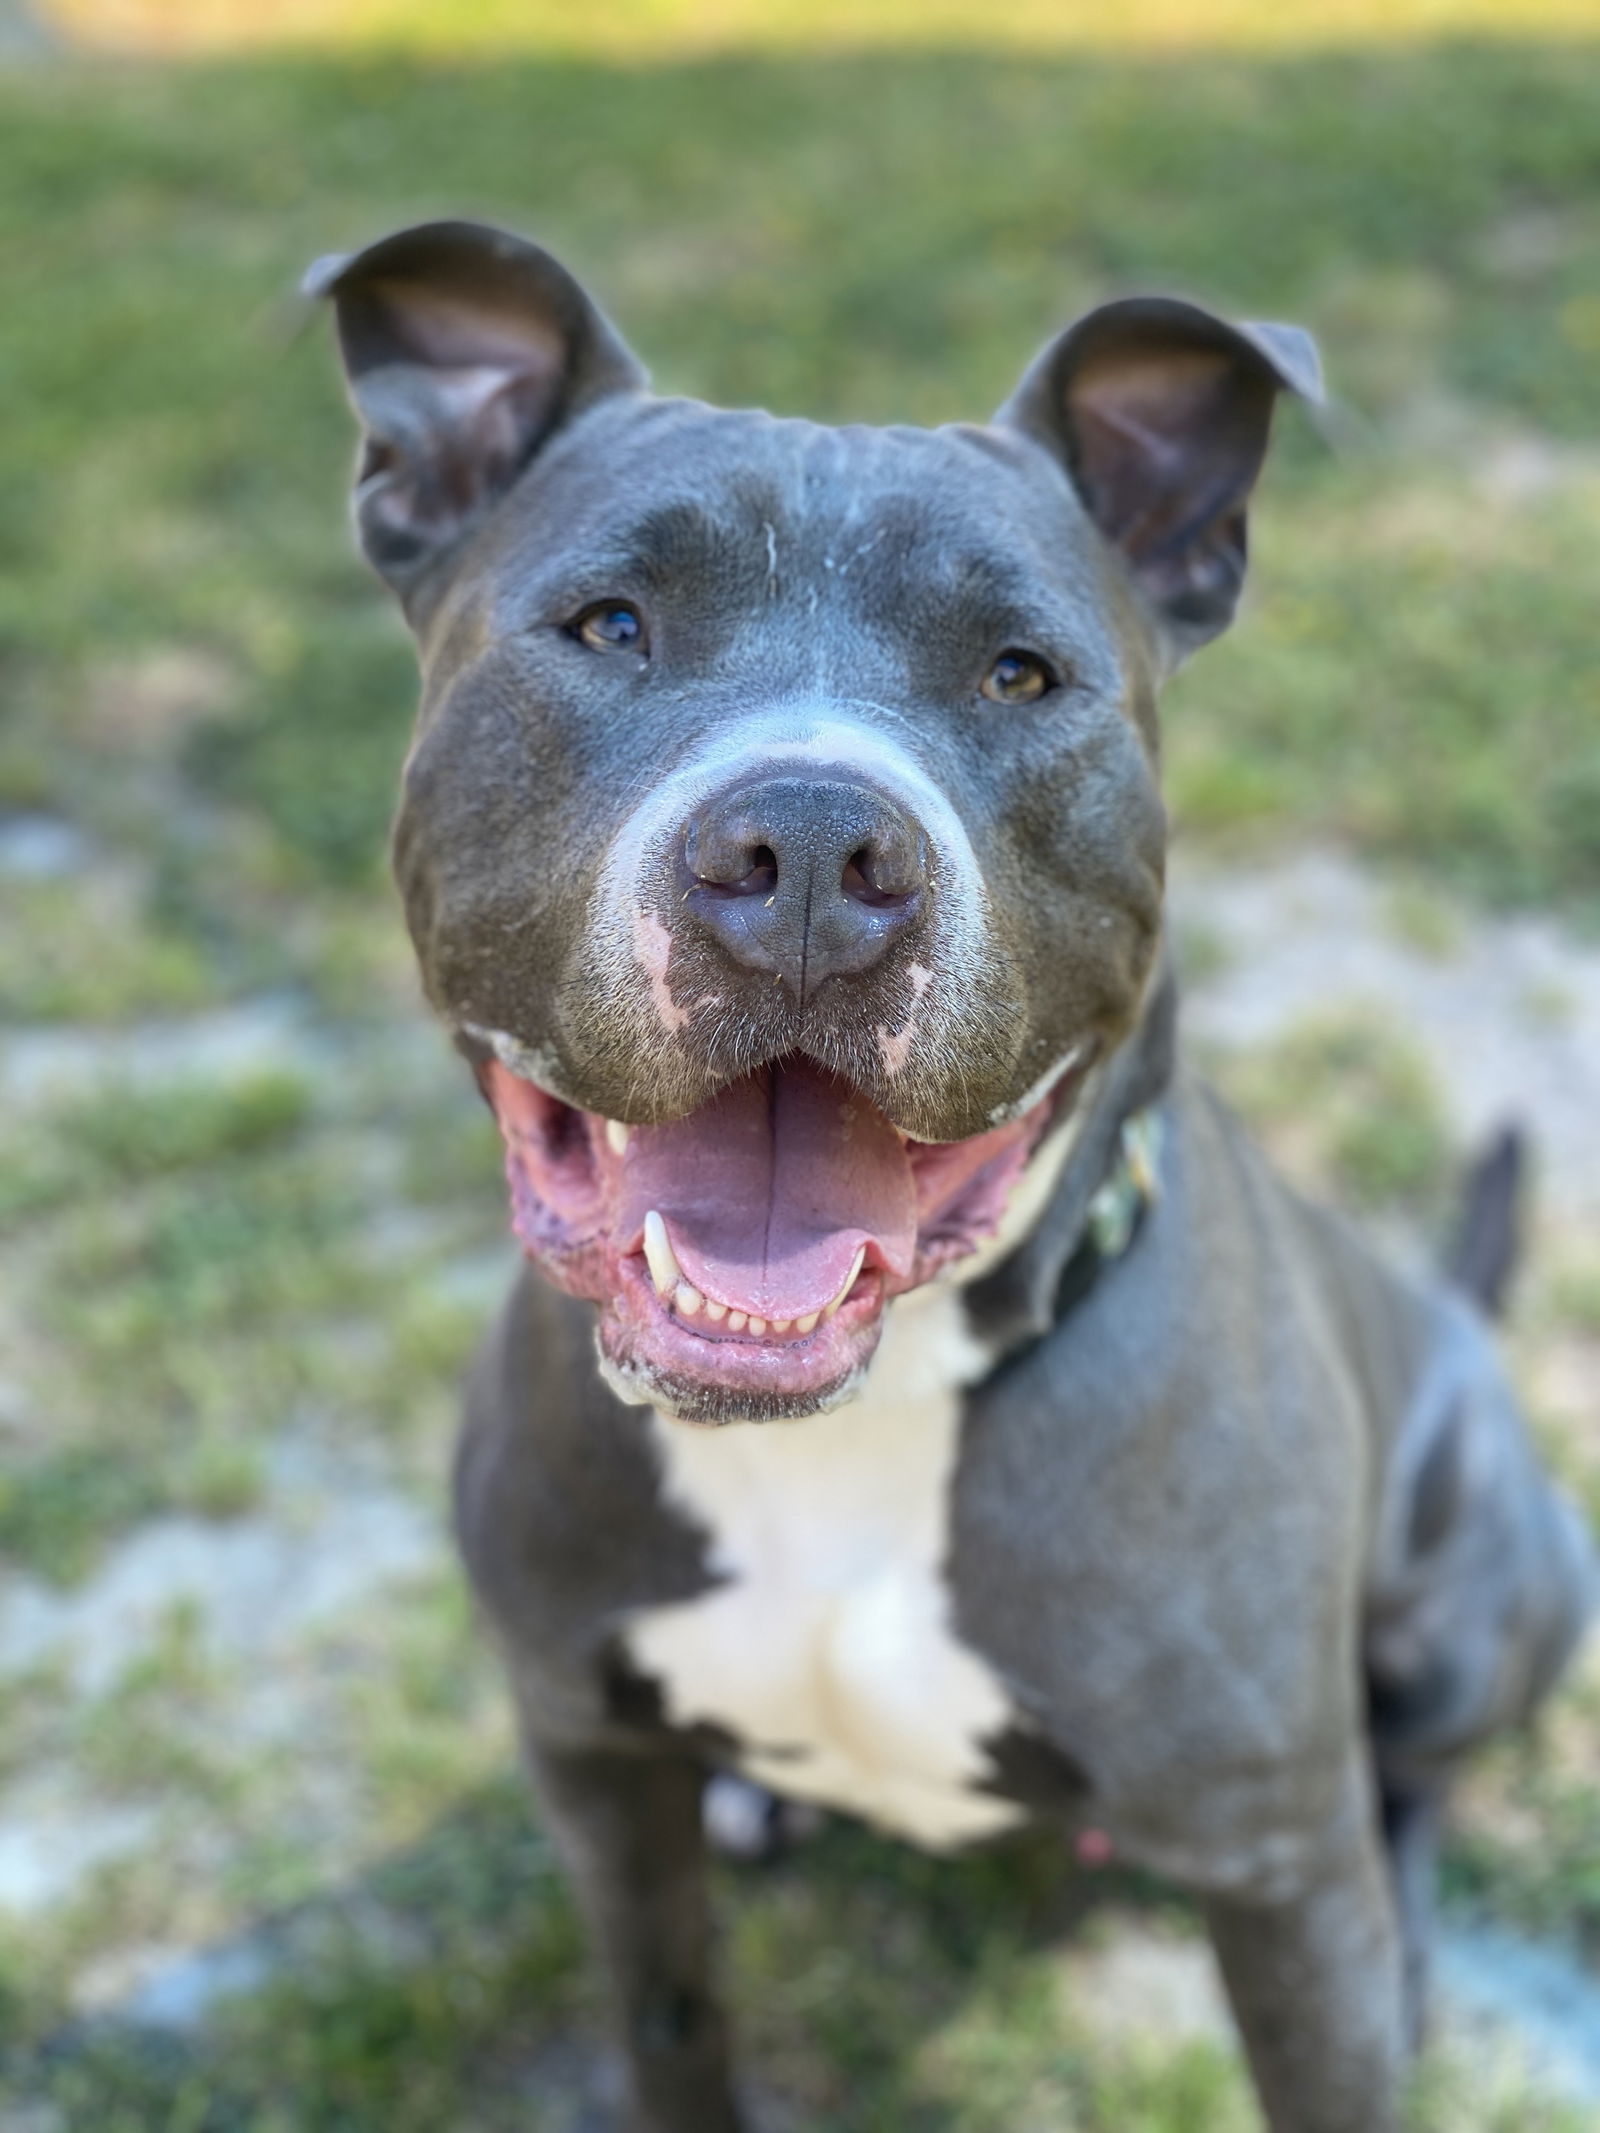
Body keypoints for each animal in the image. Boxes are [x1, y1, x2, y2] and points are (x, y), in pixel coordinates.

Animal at [307, 220, 1595, 2133]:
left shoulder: (1277, 1863)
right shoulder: (589, 1753)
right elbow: (672, 2020)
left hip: (1467, 1609)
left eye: (1018, 672)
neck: (863, 1419)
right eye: (610, 625)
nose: (811, 848)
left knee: (1415, 1780)